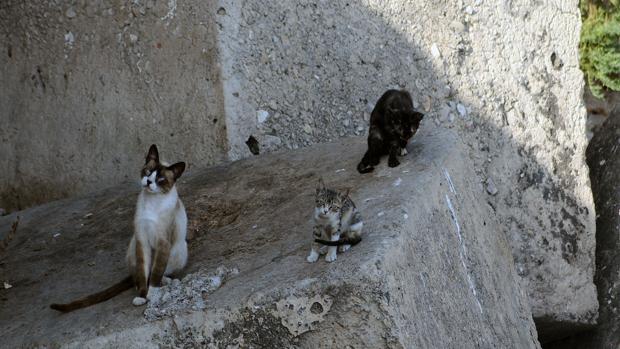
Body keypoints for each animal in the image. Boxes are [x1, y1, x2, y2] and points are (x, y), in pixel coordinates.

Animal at [50, 143, 188, 312]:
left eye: (161, 179)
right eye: (148, 172)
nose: (149, 182)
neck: (152, 202)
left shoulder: (163, 243)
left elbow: (156, 272)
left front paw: (153, 293)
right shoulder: (141, 239)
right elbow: (143, 273)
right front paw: (142, 296)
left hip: (180, 249)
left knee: (162, 272)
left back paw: (165, 281)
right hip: (133, 245)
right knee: (138, 276)